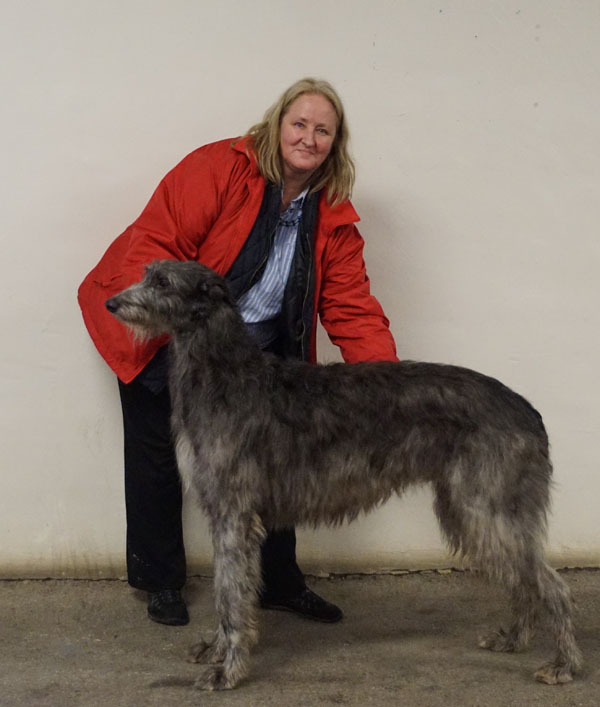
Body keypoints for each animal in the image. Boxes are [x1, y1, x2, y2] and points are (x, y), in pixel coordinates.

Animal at [105, 260, 584, 692]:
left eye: (162, 282)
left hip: (487, 506)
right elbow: (229, 586)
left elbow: (231, 593)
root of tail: (527, 410)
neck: (223, 373)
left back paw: (563, 664)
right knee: (524, 580)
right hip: (471, 509)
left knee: (553, 585)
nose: (111, 303)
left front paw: (229, 670)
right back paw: (515, 639)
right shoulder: (228, 514)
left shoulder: (233, 515)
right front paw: (218, 651)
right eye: (147, 273)